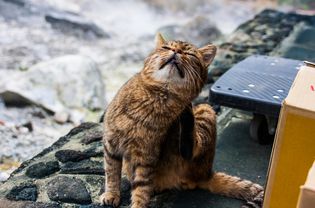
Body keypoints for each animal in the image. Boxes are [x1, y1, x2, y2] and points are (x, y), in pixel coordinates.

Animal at [99, 33, 264, 207]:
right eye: (166, 47)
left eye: (190, 54)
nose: (176, 51)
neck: (159, 95)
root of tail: (208, 174)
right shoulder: (111, 145)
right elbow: (111, 174)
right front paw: (111, 194)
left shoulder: (146, 157)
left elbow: (141, 190)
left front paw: (137, 204)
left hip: (205, 110)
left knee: (191, 149)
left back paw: (186, 117)